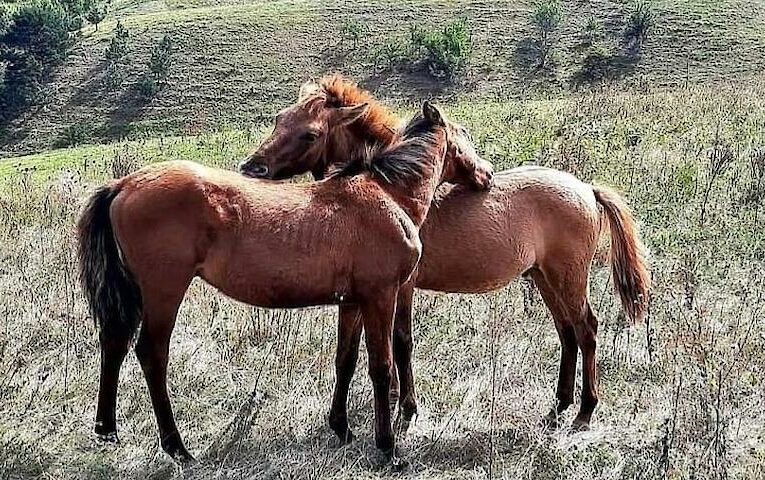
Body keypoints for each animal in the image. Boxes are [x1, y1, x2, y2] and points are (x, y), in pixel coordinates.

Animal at [77, 102, 492, 464]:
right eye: (465, 134)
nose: (486, 174)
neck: (387, 195)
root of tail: (123, 184)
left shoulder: (352, 302)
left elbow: (345, 359)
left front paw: (341, 428)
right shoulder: (381, 296)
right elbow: (381, 365)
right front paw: (387, 447)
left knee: (114, 342)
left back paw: (107, 429)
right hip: (164, 291)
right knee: (151, 353)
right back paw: (177, 447)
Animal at [240, 74, 652, 436]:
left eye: (309, 133)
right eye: (279, 119)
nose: (251, 168)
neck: (395, 193)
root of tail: (586, 188)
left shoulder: (401, 288)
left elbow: (401, 342)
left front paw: (405, 410)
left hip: (569, 278)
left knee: (587, 329)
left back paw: (584, 412)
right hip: (543, 278)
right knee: (567, 332)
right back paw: (558, 407)